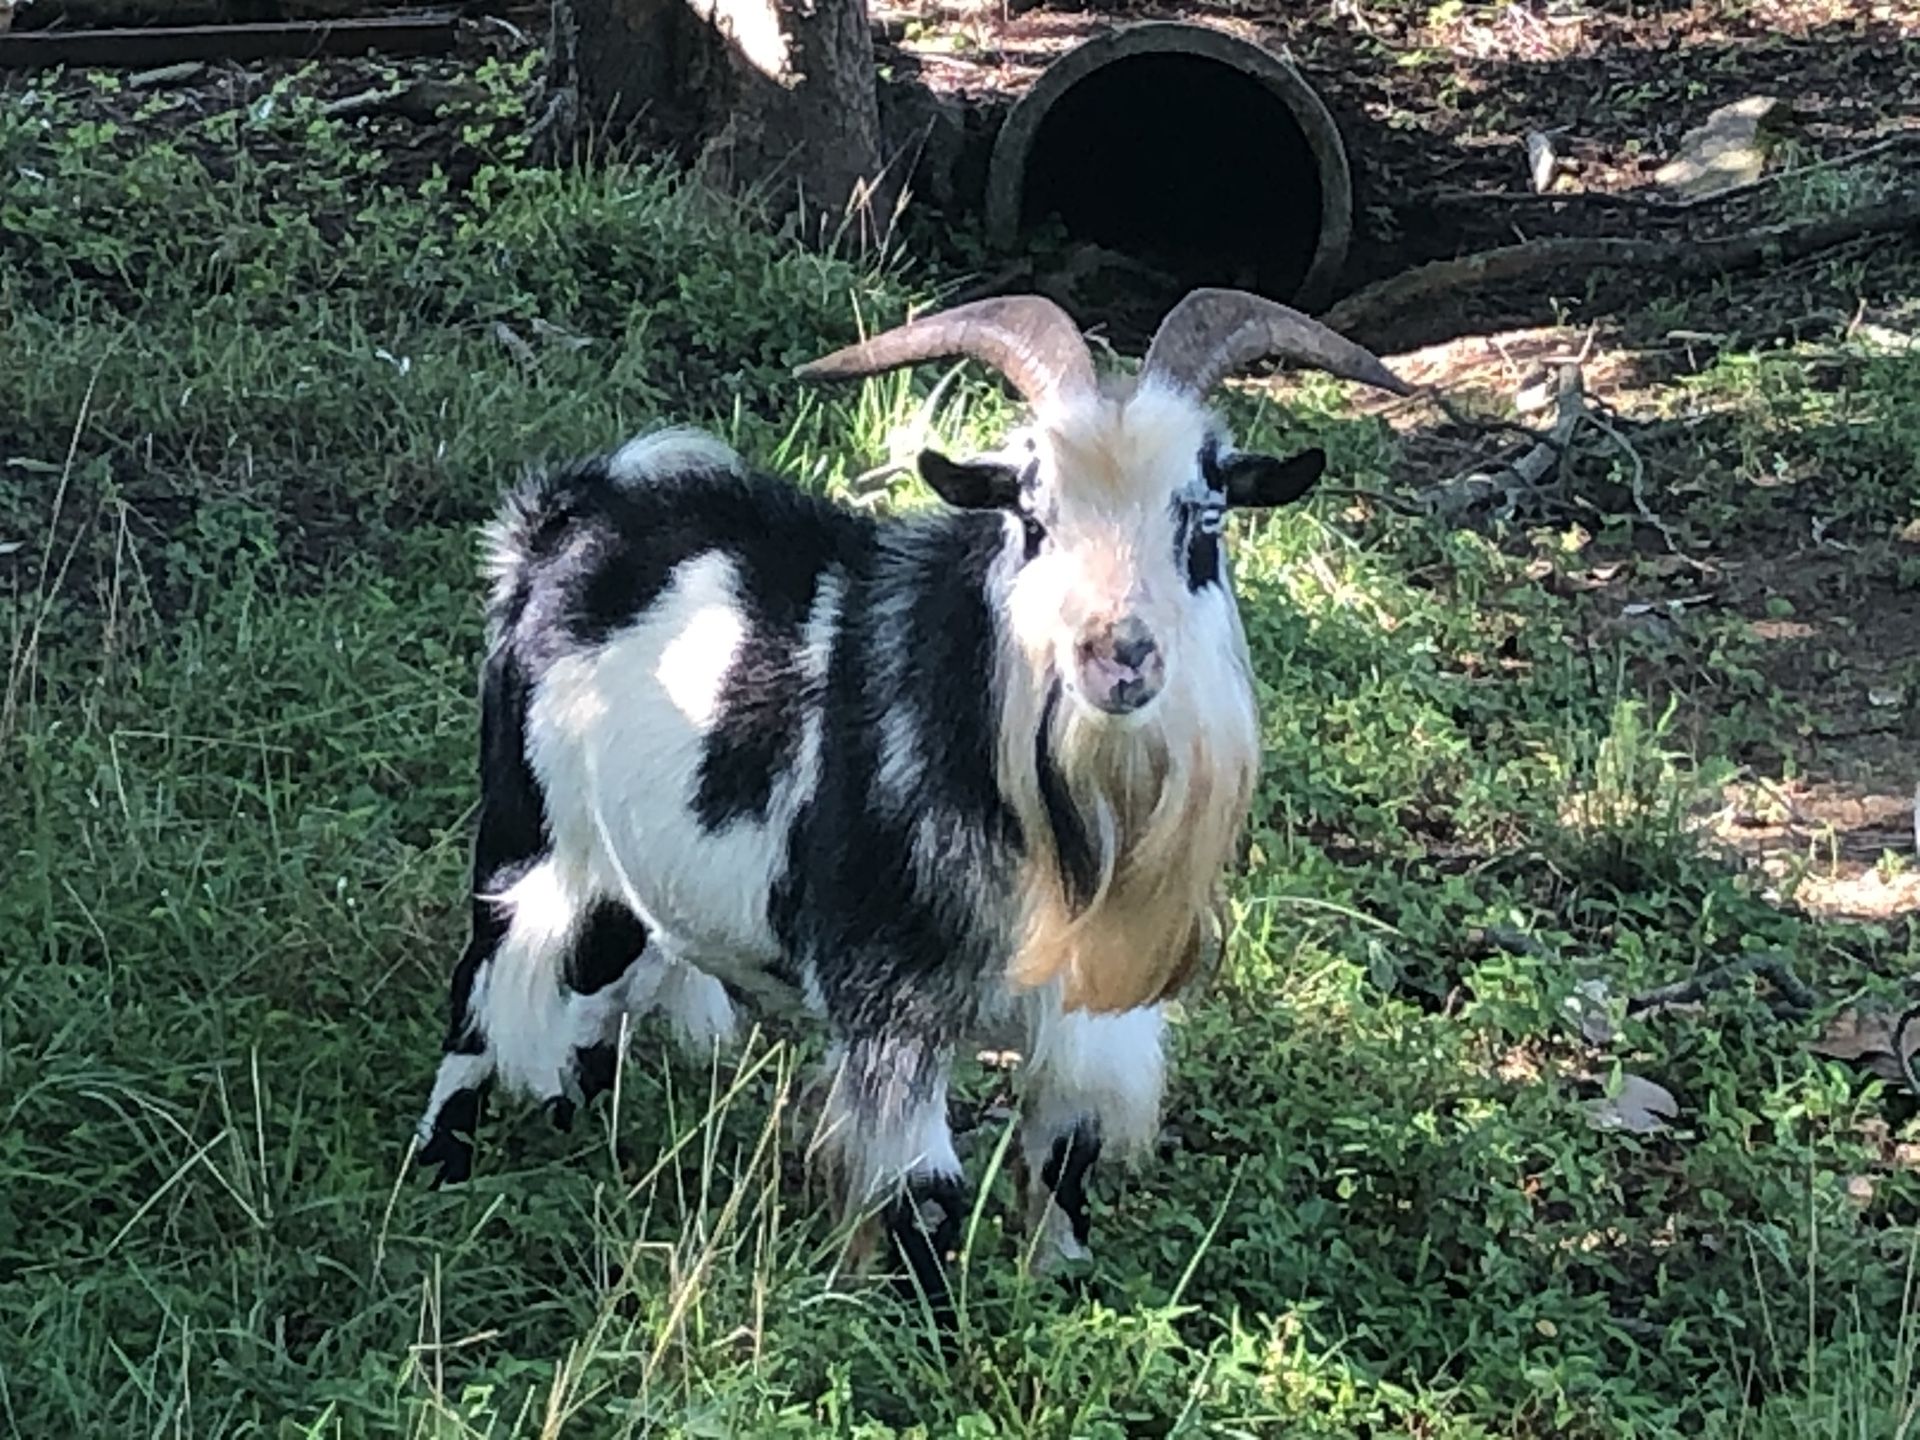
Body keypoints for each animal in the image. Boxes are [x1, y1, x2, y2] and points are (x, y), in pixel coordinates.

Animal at [416, 288, 1413, 1313]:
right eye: (1032, 517)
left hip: (626, 875)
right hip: (528, 826)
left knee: (595, 989)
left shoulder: (1095, 1014)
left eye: (1204, 521)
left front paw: (1059, 1302)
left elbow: (1065, 1164)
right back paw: (440, 1173)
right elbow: (924, 1198)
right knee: (480, 994)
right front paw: (934, 1333)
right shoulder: (892, 1002)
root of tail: (567, 515)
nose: (1120, 654)